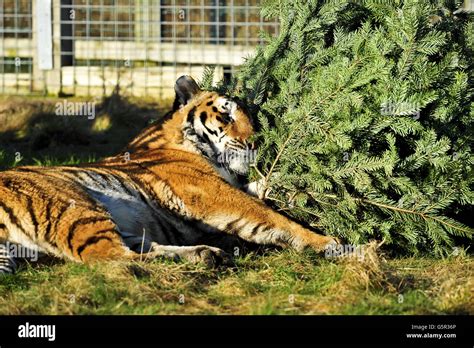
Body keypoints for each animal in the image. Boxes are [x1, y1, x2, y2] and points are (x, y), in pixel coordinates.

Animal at [0, 76, 336, 274]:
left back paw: (206, 255)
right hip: (74, 205)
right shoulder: (210, 192)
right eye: (226, 114)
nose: (256, 143)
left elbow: (268, 190)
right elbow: (270, 216)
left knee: (134, 247)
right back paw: (202, 258)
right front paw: (326, 242)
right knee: (109, 257)